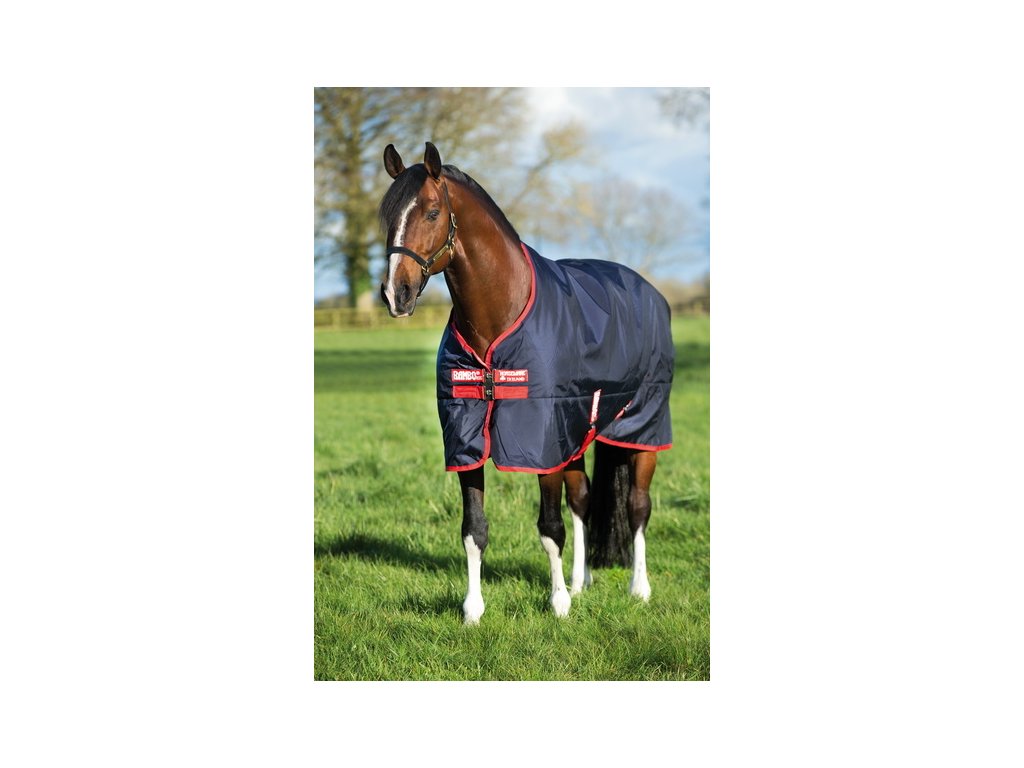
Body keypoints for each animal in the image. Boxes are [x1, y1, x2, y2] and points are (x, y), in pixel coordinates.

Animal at [378, 141, 674, 625]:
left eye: (433, 212)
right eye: (387, 215)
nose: (394, 294)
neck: (500, 316)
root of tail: (649, 290)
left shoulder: (540, 441)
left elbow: (550, 528)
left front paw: (558, 604)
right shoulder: (468, 440)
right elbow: (474, 529)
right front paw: (473, 610)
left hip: (643, 428)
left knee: (637, 507)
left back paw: (639, 588)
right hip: (577, 432)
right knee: (583, 499)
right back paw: (582, 581)